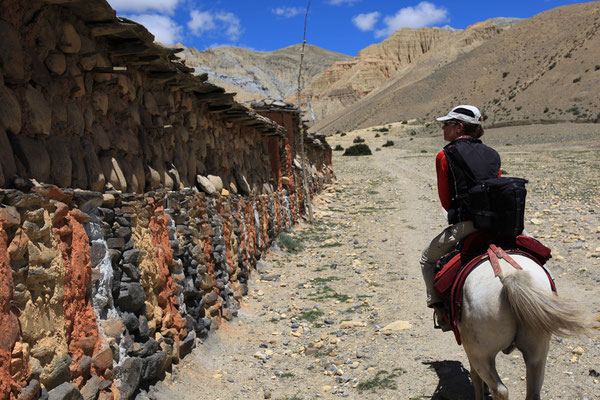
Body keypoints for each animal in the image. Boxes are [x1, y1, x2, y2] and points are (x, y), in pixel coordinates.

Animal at [458, 253, 588, 400]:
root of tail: (509, 277)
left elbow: (474, 374)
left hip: (480, 354)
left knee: (499, 389)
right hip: (537, 352)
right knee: (533, 391)